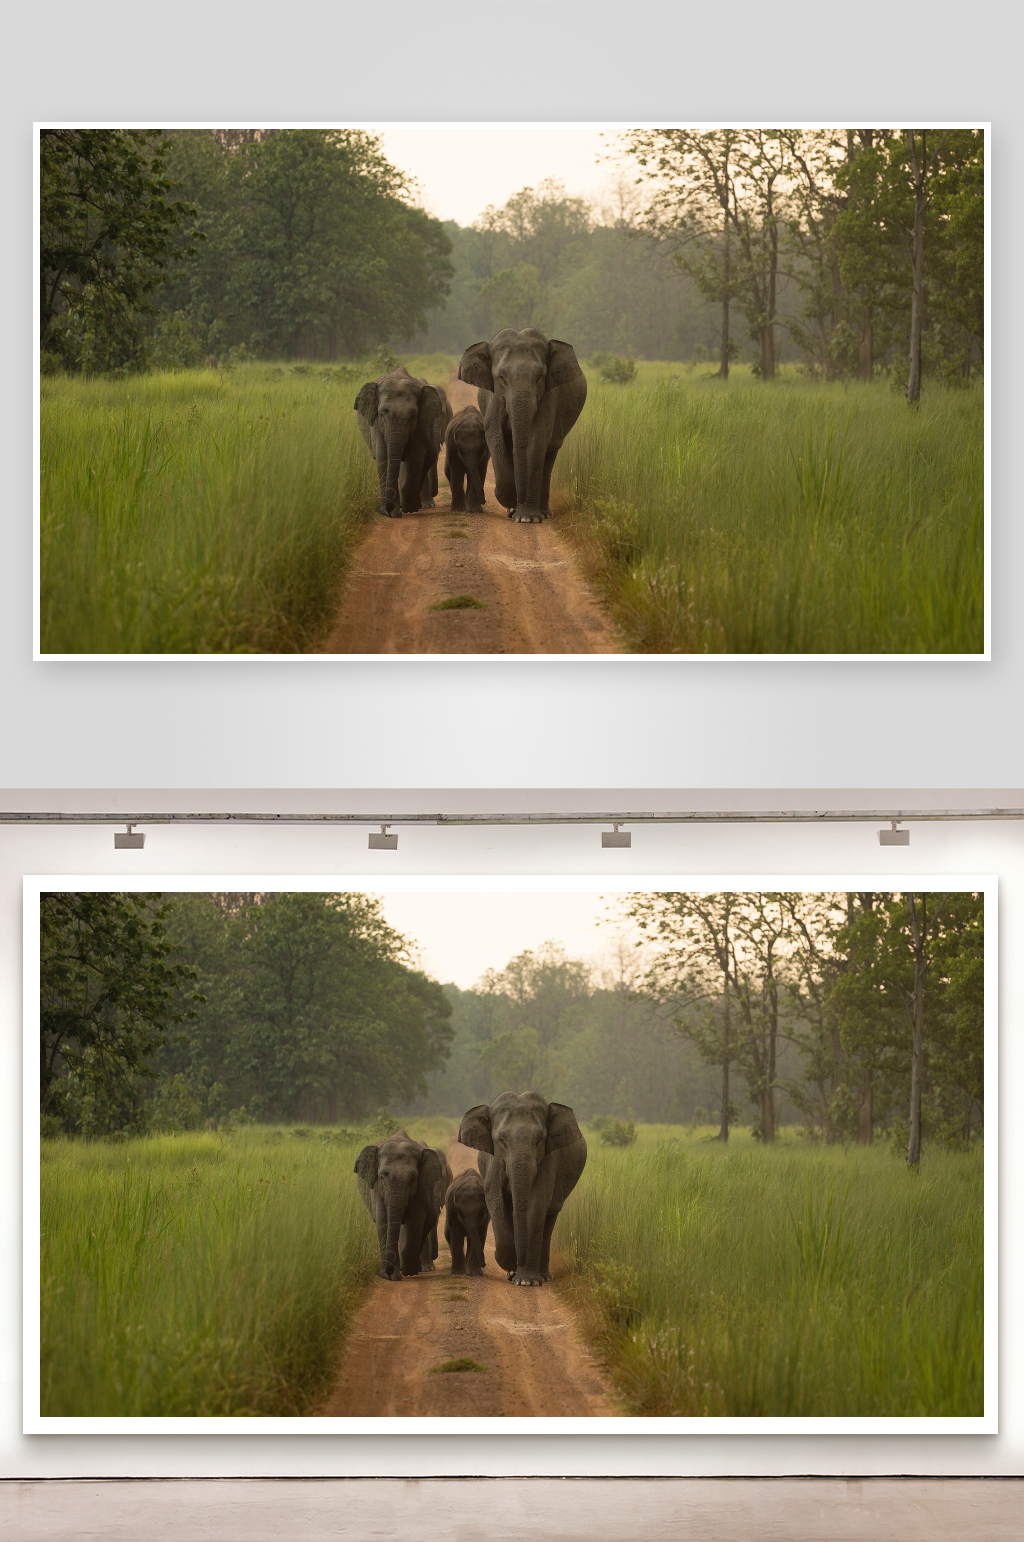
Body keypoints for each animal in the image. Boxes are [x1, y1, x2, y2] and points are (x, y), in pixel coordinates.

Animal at [354, 367, 451, 518]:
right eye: (382, 414)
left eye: (413, 416)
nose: (387, 509)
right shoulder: (376, 424)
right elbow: (383, 456)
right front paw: (390, 513)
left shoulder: (422, 421)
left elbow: (416, 454)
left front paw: (409, 507)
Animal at [354, 1129, 453, 1280]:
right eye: (382, 1177)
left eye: (412, 1179)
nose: (387, 1272)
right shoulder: (376, 1187)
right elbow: (383, 1220)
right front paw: (390, 1276)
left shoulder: (422, 1185)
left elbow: (416, 1218)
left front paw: (410, 1270)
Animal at [457, 328, 587, 523]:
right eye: (501, 377)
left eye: (540, 377)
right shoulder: (494, 396)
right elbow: (495, 435)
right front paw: (511, 503)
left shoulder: (548, 395)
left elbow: (536, 441)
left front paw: (527, 519)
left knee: (549, 454)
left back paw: (543, 513)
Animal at [458, 1091, 587, 1286]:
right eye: (501, 1140)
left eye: (539, 1140)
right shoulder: (494, 1159)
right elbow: (495, 1198)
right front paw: (511, 1266)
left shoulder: (548, 1158)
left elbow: (536, 1204)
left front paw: (527, 1282)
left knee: (549, 1217)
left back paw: (543, 1276)